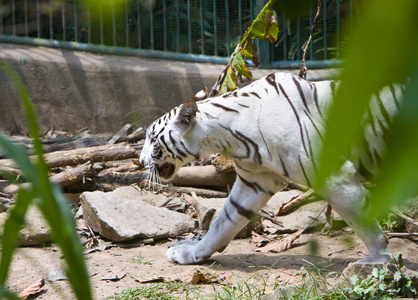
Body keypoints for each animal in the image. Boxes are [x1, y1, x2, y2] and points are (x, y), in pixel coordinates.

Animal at [140, 72, 402, 264]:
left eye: (152, 138)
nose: (141, 161)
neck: (228, 137)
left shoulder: (335, 176)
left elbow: (362, 221)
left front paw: (377, 260)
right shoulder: (255, 181)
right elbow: (223, 222)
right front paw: (192, 253)